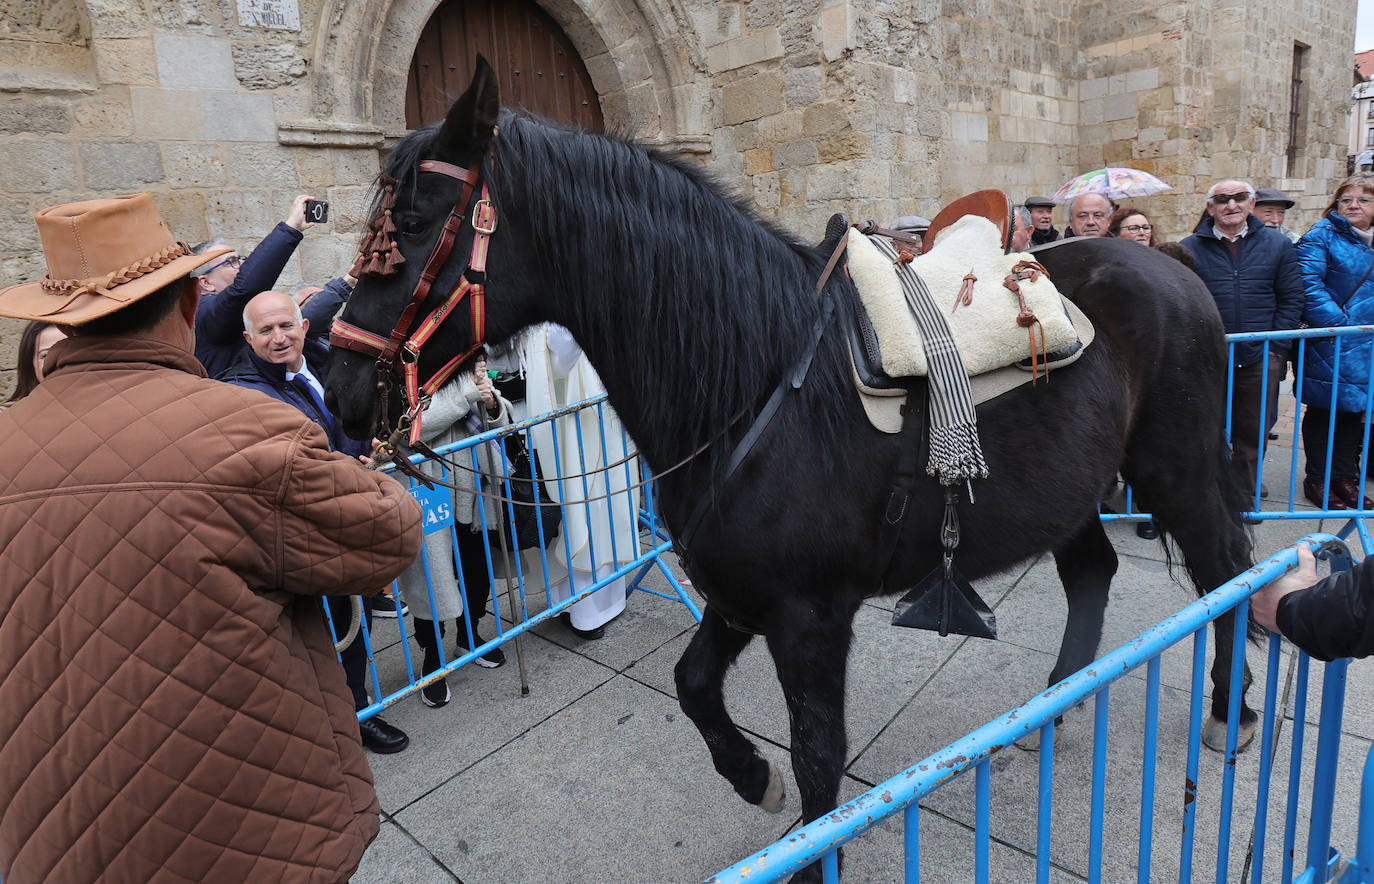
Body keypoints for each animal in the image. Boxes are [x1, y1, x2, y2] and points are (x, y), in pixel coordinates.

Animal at [324, 58, 1258, 879]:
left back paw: (1231, 711)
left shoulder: (809, 616)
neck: (755, 379)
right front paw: (752, 778)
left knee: (1227, 572)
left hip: (1175, 472)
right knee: (1094, 570)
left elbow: (819, 759)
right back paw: (1061, 701)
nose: (337, 386)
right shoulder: (743, 592)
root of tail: (1171, 266)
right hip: (1071, 494)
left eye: (414, 225)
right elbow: (695, 686)